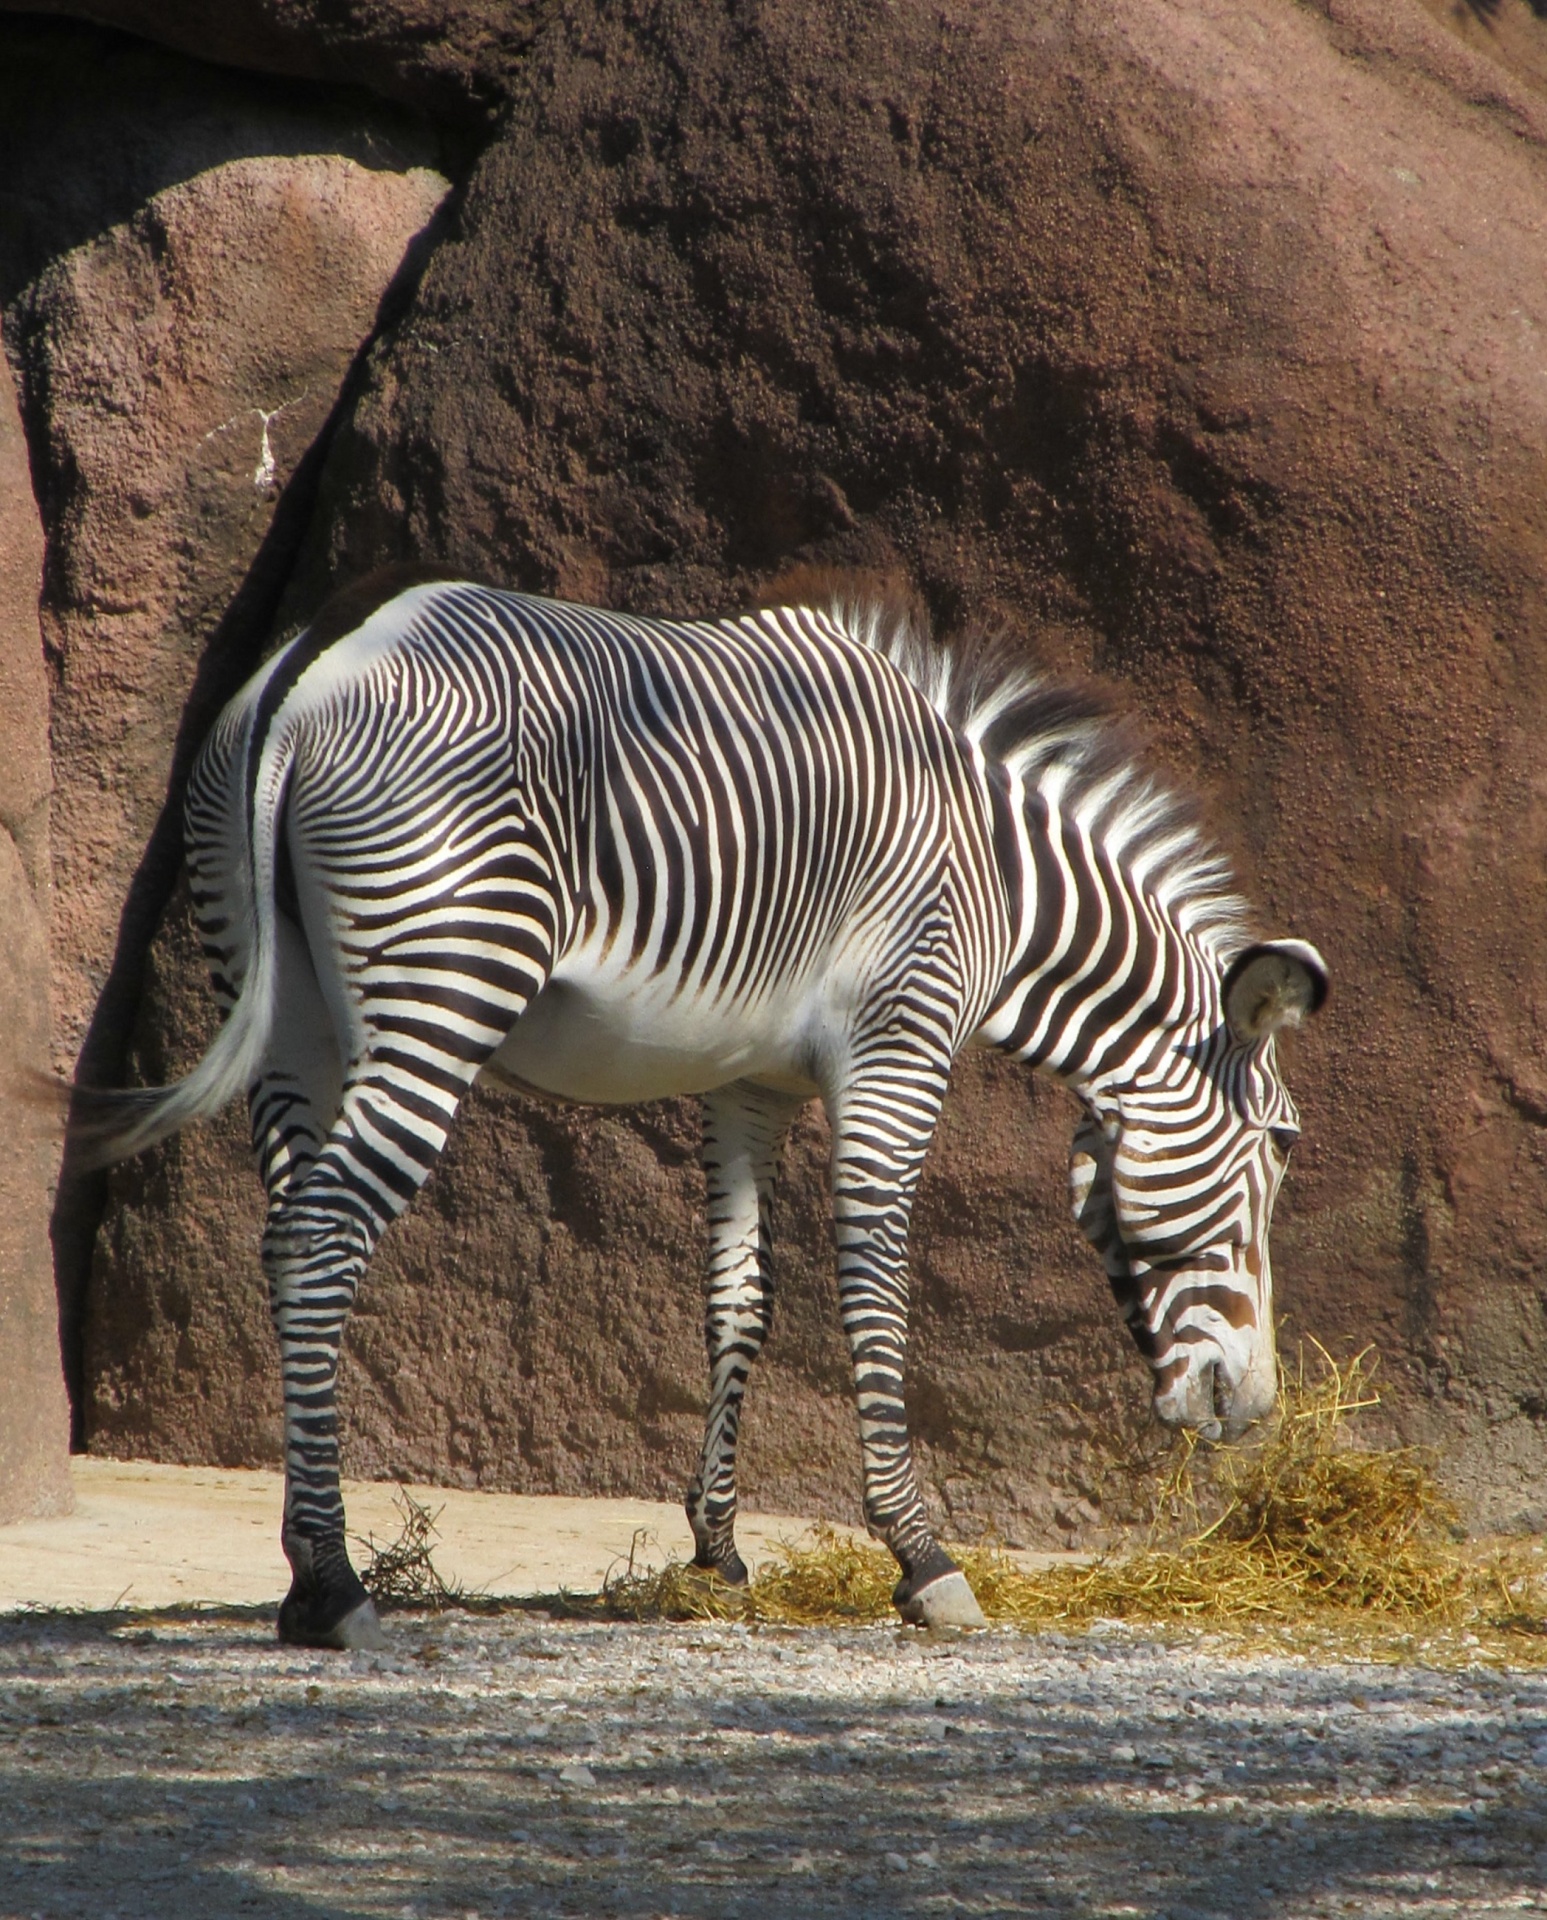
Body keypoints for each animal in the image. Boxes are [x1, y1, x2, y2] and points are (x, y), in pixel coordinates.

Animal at [78, 568, 1328, 1651]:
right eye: (1274, 1151)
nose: (1253, 1411)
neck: (1000, 880)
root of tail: (315, 668)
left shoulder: (750, 1085)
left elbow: (740, 1298)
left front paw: (716, 1551)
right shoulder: (899, 1042)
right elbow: (875, 1289)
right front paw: (920, 1558)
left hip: (281, 1005)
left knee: (286, 1230)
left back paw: (305, 1572)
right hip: (448, 977)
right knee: (323, 1234)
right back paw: (333, 1584)